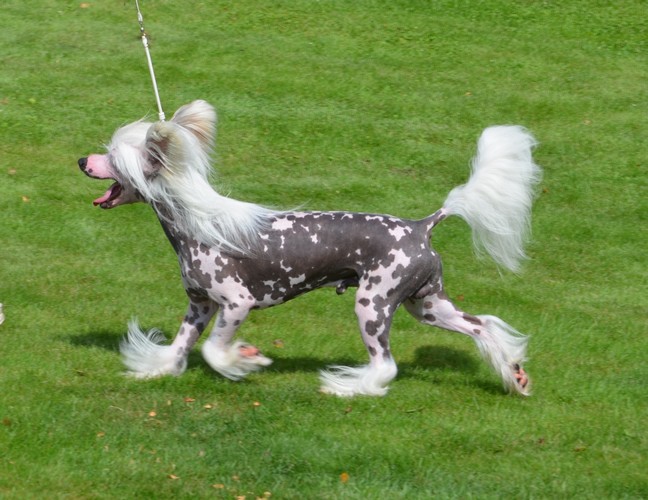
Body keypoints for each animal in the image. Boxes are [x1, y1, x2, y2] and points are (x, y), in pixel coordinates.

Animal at [78, 100, 541, 397]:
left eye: (113, 156)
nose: (82, 161)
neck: (197, 221)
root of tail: (422, 226)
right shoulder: (200, 305)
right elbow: (180, 346)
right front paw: (155, 370)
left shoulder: (236, 303)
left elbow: (212, 349)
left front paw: (246, 359)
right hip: (426, 305)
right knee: (481, 325)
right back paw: (513, 375)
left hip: (373, 304)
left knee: (386, 365)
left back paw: (348, 387)